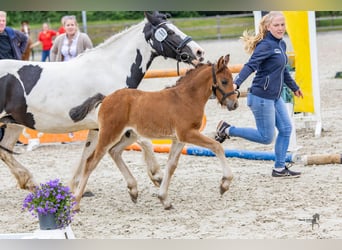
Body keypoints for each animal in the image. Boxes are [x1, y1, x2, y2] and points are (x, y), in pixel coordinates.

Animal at [0, 11, 204, 196]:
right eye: (168, 31)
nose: (199, 52)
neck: (110, 69)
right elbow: (144, 141)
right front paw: (156, 176)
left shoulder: (98, 127)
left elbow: (87, 155)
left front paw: (74, 187)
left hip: (14, 123)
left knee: (5, 150)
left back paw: (29, 182)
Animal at [73, 53, 238, 210]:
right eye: (224, 81)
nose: (234, 104)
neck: (186, 98)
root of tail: (106, 98)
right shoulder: (187, 133)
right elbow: (217, 146)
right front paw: (224, 184)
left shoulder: (179, 139)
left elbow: (171, 166)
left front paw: (164, 199)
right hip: (109, 134)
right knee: (91, 162)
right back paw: (76, 203)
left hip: (129, 135)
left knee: (114, 152)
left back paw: (133, 191)